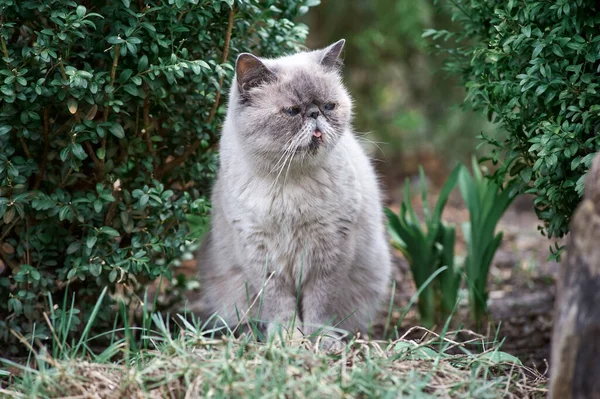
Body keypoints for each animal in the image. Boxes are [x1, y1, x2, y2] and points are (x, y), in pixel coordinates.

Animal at [198, 39, 394, 348]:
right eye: (292, 111)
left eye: (329, 106)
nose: (315, 114)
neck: (288, 182)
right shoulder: (260, 255)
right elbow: (279, 306)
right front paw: (288, 340)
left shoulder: (331, 251)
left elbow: (319, 305)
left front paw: (320, 340)